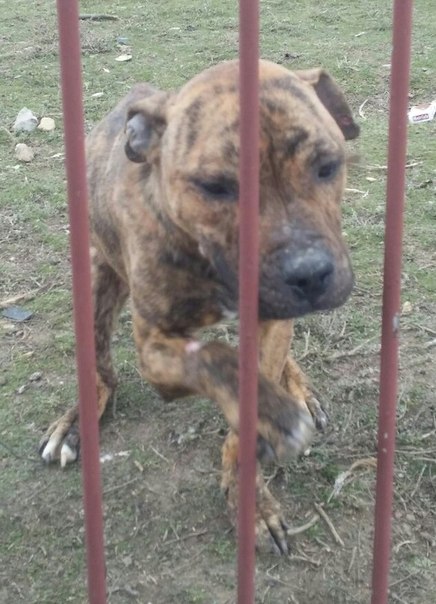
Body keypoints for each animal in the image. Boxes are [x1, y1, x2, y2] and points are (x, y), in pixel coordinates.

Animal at [40, 60, 359, 554]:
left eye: (328, 167)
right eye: (214, 187)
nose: (308, 274)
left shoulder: (270, 324)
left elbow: (250, 389)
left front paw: (251, 497)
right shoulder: (155, 349)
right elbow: (215, 359)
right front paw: (272, 418)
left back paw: (299, 390)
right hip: (95, 285)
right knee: (100, 371)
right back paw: (76, 422)